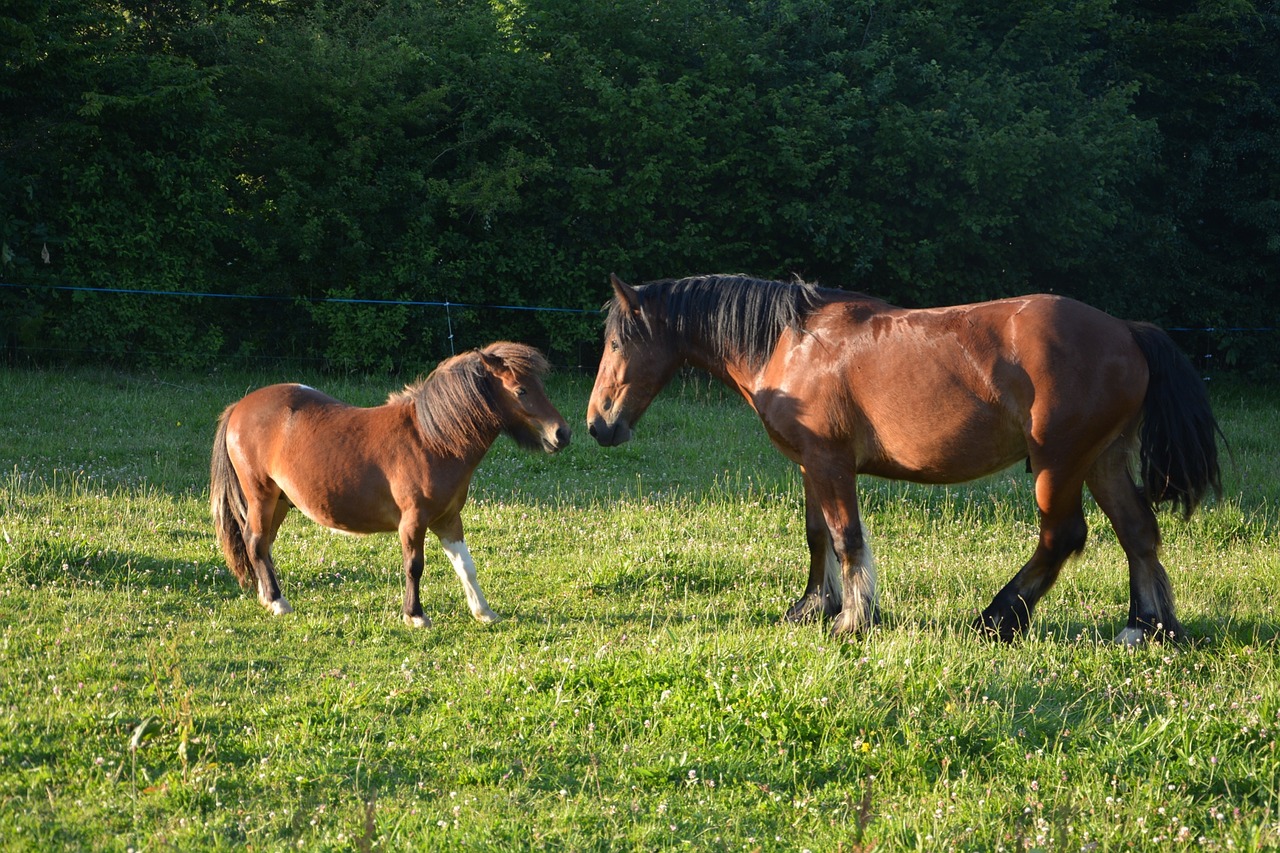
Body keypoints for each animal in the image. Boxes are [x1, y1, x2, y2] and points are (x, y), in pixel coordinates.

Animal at [211, 340, 570, 625]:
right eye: (521, 390)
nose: (562, 434)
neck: (431, 439)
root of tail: (240, 406)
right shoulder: (413, 521)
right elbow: (414, 566)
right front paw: (416, 615)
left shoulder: (448, 520)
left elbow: (465, 565)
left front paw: (483, 611)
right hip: (261, 497)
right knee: (256, 542)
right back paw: (277, 602)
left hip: (280, 502)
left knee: (262, 545)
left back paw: (267, 596)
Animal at [586, 275, 1218, 640]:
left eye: (617, 342)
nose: (598, 424)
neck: (792, 342)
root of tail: (1127, 332)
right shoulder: (810, 465)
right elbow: (817, 536)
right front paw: (813, 607)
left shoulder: (830, 463)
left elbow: (846, 538)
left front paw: (852, 619)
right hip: (1102, 459)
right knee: (1138, 532)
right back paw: (1146, 626)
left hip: (1058, 464)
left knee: (1062, 536)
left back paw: (998, 617)